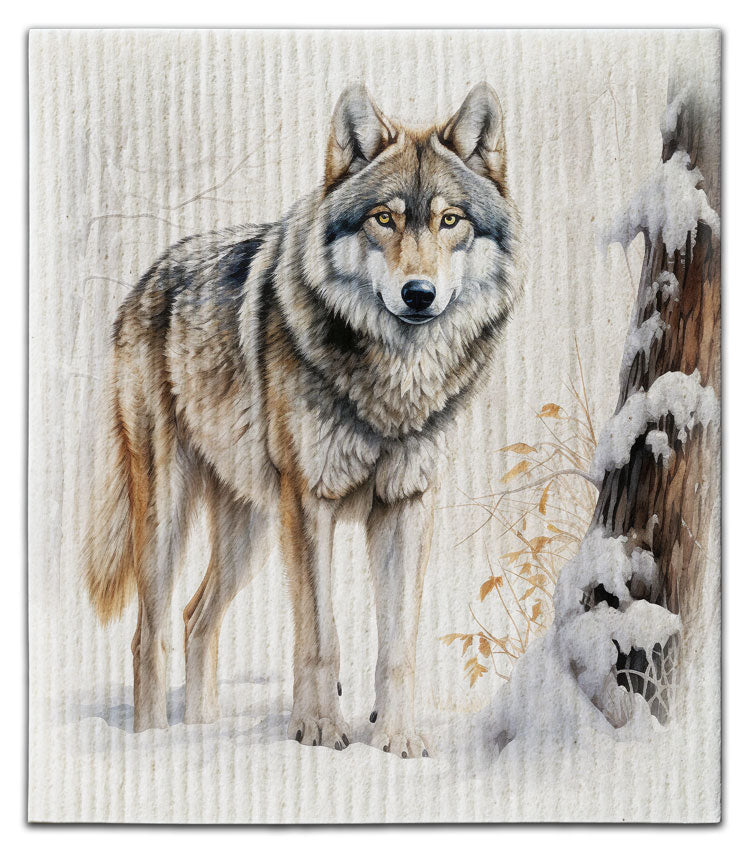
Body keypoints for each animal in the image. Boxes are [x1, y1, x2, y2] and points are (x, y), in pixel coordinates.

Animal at [84, 82, 519, 757]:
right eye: (384, 218)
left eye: (451, 221)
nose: (418, 294)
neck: (393, 382)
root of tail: (145, 280)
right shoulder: (310, 504)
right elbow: (320, 637)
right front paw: (317, 730)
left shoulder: (406, 505)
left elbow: (398, 646)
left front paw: (397, 738)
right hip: (170, 517)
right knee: (146, 637)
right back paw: (151, 742)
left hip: (253, 528)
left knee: (195, 618)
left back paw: (203, 730)